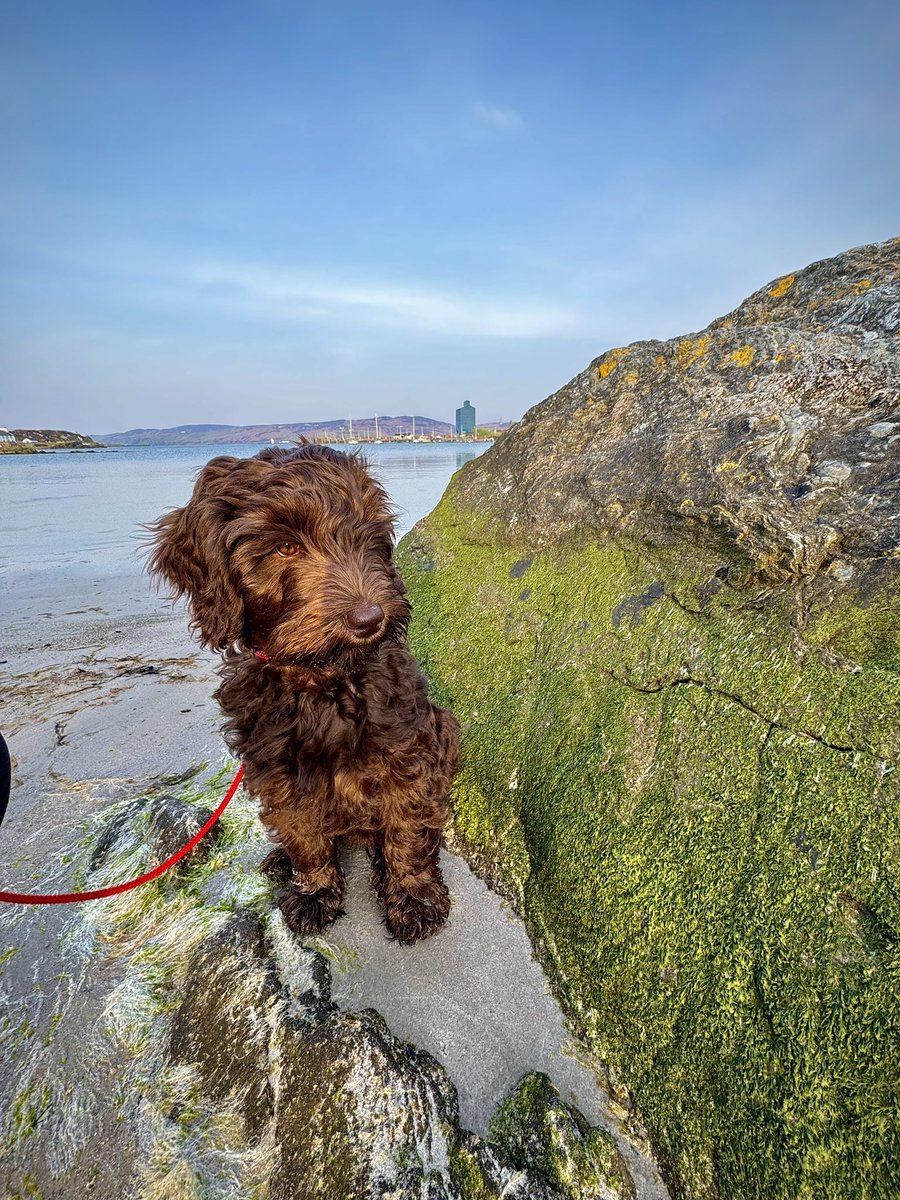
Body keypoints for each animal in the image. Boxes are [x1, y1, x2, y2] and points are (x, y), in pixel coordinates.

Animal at [150, 446, 458, 940]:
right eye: (285, 547)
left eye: (366, 536)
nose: (371, 618)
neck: (322, 681)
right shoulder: (278, 771)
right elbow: (305, 837)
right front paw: (314, 890)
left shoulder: (408, 753)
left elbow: (407, 829)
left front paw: (413, 895)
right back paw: (281, 860)